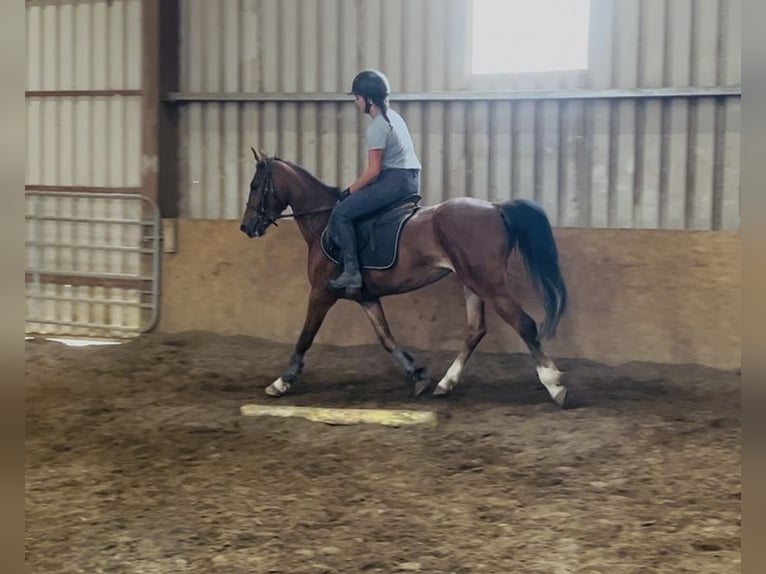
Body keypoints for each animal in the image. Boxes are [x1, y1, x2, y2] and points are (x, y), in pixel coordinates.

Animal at [239, 148, 570, 408]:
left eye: (255, 185)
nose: (246, 227)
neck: (323, 221)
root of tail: (495, 207)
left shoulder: (321, 293)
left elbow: (305, 336)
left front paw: (282, 382)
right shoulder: (366, 297)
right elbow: (386, 338)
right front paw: (417, 376)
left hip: (488, 283)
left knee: (524, 323)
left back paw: (554, 384)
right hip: (472, 283)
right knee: (475, 330)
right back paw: (445, 384)